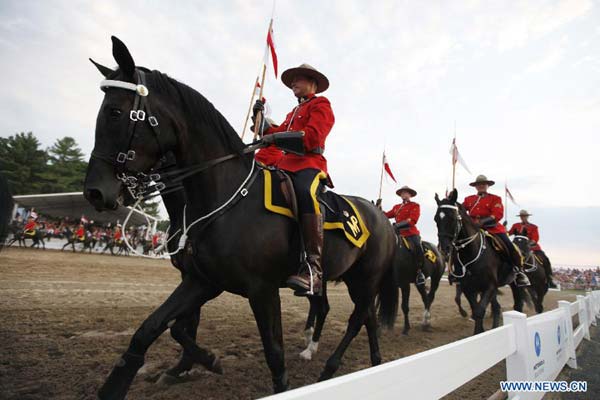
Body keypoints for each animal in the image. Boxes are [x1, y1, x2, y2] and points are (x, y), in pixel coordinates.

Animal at [81, 36, 398, 398]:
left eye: (115, 112)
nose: (94, 192)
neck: (222, 196)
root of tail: (382, 217)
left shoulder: (262, 290)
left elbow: (273, 352)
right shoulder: (201, 280)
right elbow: (158, 328)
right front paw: (181, 366)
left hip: (365, 280)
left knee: (357, 318)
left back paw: (329, 368)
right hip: (357, 280)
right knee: (367, 318)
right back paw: (372, 363)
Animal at [434, 190, 528, 334]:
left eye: (452, 218)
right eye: (436, 219)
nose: (444, 248)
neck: (471, 253)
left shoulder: (489, 287)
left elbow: (479, 311)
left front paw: (479, 331)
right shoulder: (468, 287)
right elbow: (475, 309)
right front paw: (480, 331)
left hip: (514, 285)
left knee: (517, 304)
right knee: (496, 308)